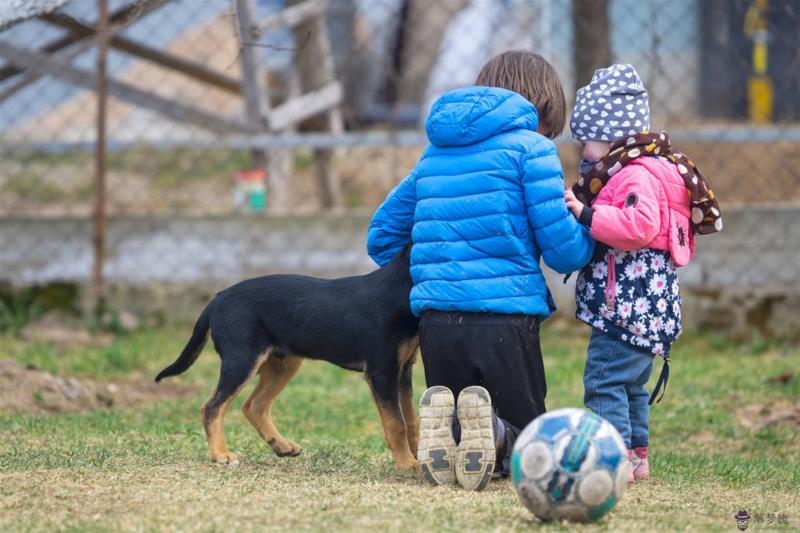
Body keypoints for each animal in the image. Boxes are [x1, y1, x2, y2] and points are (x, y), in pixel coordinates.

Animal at [153, 245, 422, 470]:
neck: (399, 287)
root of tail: (216, 300)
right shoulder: (381, 371)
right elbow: (396, 423)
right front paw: (407, 464)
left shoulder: (402, 371)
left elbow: (411, 419)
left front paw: (416, 454)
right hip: (242, 359)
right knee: (212, 407)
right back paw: (221, 454)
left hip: (282, 364)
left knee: (254, 405)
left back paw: (281, 446)